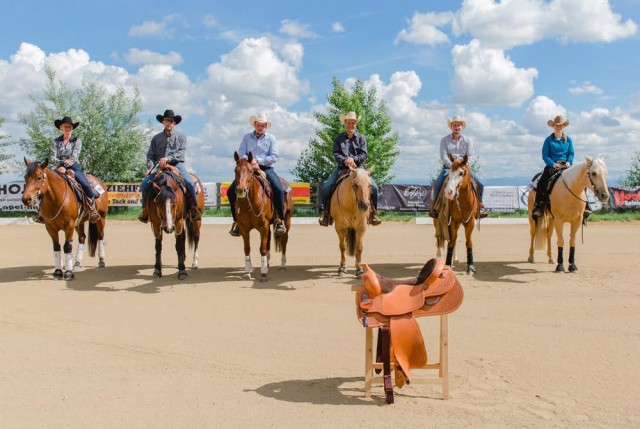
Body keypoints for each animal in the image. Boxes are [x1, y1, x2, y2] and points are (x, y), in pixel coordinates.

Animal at [234, 150, 294, 280]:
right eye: (235, 170)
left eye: (250, 171)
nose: (241, 190)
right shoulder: (244, 228)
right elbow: (247, 249)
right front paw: (248, 271)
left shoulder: (263, 227)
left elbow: (262, 248)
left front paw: (263, 274)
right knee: (269, 241)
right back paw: (268, 264)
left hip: (287, 220)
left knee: (284, 240)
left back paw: (282, 265)